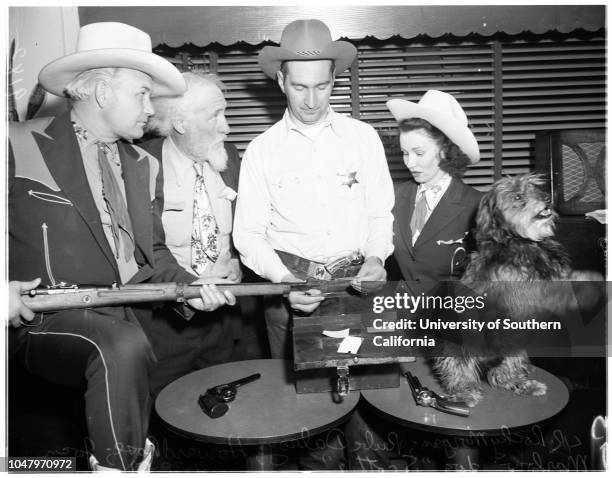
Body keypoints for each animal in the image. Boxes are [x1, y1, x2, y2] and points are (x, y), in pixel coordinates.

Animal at [432, 174, 600, 406]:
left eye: (534, 188)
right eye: (518, 197)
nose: (547, 198)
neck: (520, 240)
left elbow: (569, 278)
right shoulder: (525, 292)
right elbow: (560, 290)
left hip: (515, 347)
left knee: (501, 374)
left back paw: (521, 383)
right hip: (462, 342)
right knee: (457, 368)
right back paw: (464, 391)